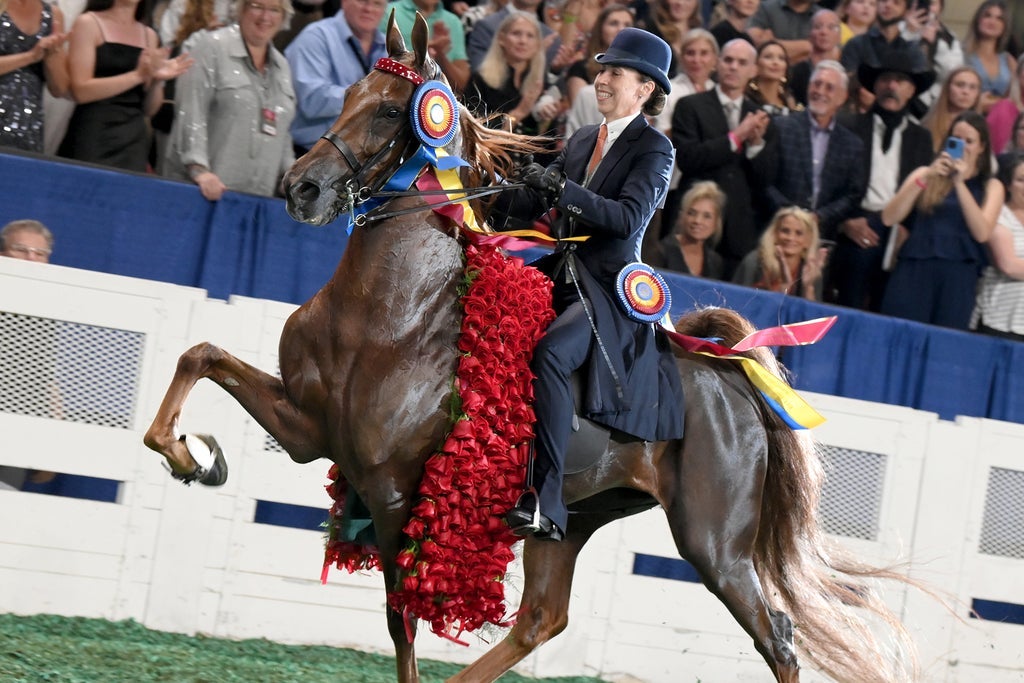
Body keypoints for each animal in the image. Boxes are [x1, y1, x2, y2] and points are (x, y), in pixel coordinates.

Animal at [143, 13, 919, 683]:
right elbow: (199, 355)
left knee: (777, 638)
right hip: (571, 517)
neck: (387, 314)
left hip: (714, 542)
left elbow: (401, 622)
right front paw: (193, 456)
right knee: (542, 617)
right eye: (348, 94)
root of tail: (729, 379)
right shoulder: (309, 430)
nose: (301, 187)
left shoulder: (391, 488)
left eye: (393, 112)